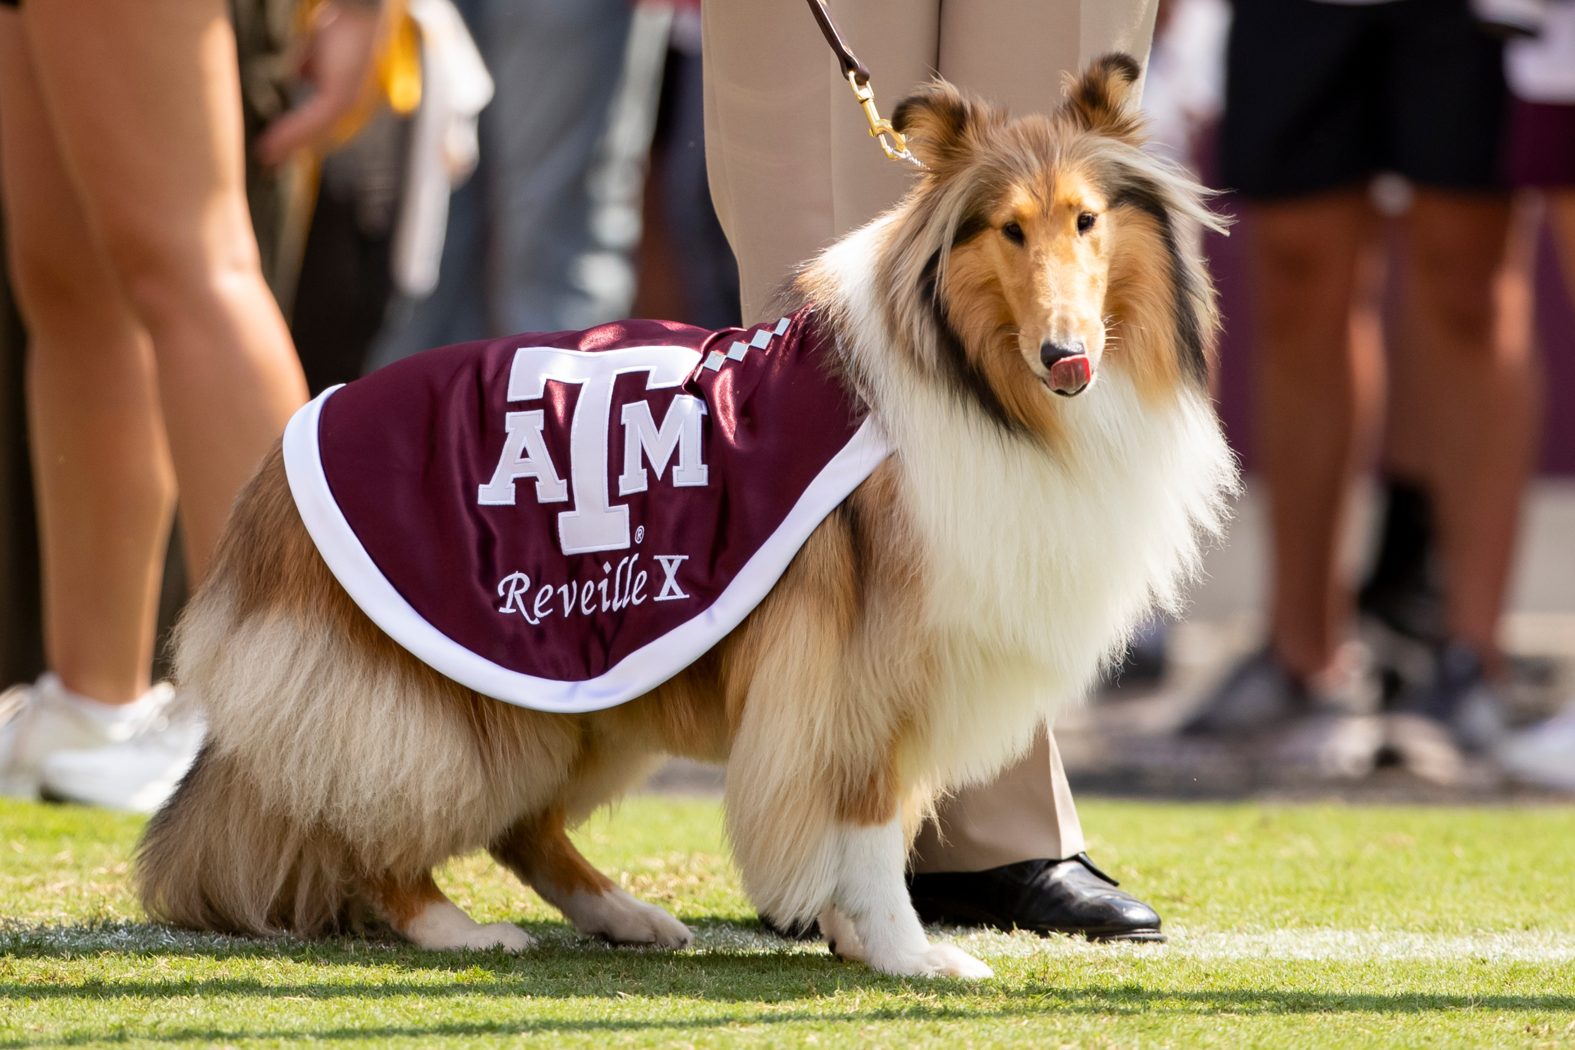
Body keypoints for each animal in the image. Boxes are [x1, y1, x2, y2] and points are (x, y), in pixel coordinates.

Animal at [135, 55, 1234, 976]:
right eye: (1008, 229)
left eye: (1086, 221)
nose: (1066, 356)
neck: (972, 379)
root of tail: (276, 474)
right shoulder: (860, 670)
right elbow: (872, 829)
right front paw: (908, 955)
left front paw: (851, 938)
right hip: (446, 696)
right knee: (364, 818)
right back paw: (458, 928)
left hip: (585, 690)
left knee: (513, 827)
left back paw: (627, 917)